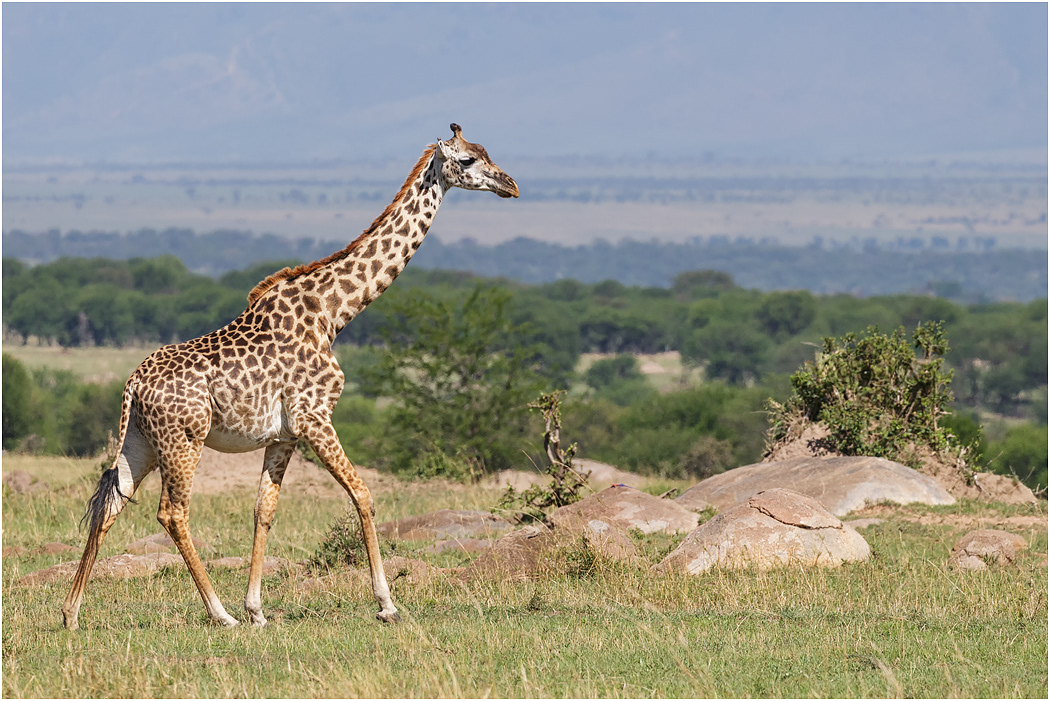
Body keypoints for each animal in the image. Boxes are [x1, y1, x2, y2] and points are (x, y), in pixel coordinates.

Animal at [61, 124, 518, 630]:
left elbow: (264, 510)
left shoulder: (284, 434)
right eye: (470, 160)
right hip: (183, 439)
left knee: (110, 503)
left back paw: (71, 613)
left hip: (141, 440)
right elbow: (363, 494)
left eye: (487, 152)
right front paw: (386, 603)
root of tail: (132, 385)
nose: (511, 185)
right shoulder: (315, 417)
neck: (333, 314)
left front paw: (257, 609)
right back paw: (219, 613)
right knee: (173, 513)